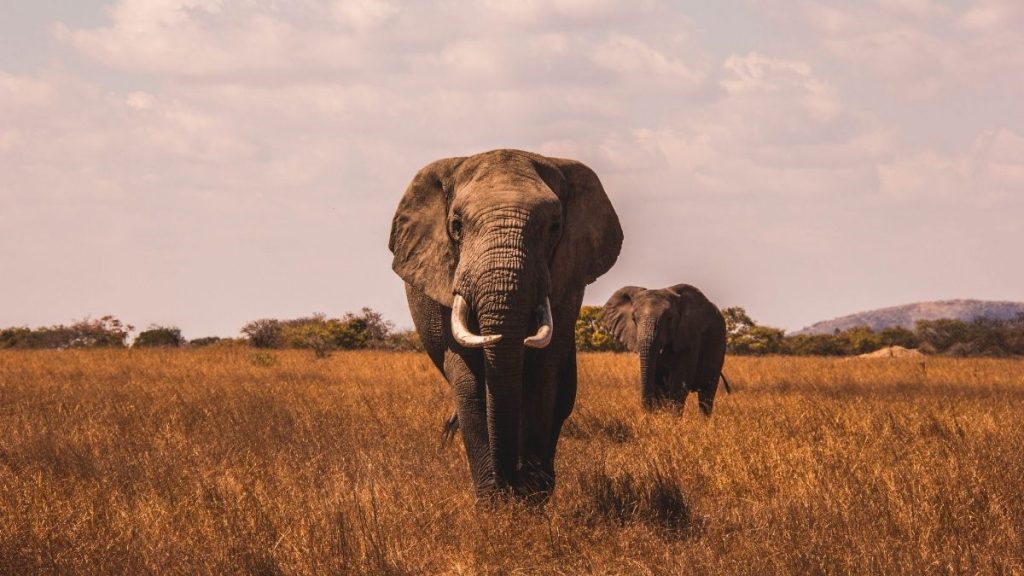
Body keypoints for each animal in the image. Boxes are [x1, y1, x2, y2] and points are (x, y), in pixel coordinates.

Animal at [385, 150, 618, 500]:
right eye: (456, 225)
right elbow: (469, 381)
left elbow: (542, 378)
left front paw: (531, 500)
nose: (511, 483)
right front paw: (495, 503)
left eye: (555, 227)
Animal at [598, 282, 729, 409]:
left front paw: (671, 416)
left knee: (707, 394)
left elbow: (679, 383)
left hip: (718, 344)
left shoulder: (690, 337)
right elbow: (658, 383)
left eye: (669, 318)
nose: (647, 408)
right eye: (634, 319)